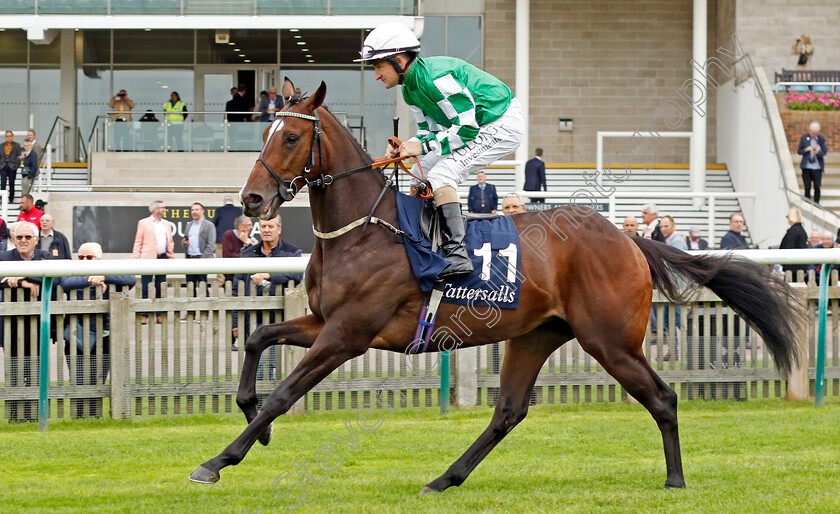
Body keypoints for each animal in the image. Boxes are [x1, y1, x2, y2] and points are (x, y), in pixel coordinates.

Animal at [189, 79, 800, 488]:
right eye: (265, 133)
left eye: (291, 136)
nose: (251, 201)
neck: (363, 229)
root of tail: (629, 239)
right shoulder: (323, 320)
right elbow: (256, 339)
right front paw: (253, 423)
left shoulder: (348, 334)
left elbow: (285, 394)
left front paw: (218, 460)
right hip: (535, 335)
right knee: (508, 411)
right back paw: (444, 478)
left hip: (610, 340)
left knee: (663, 396)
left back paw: (675, 479)